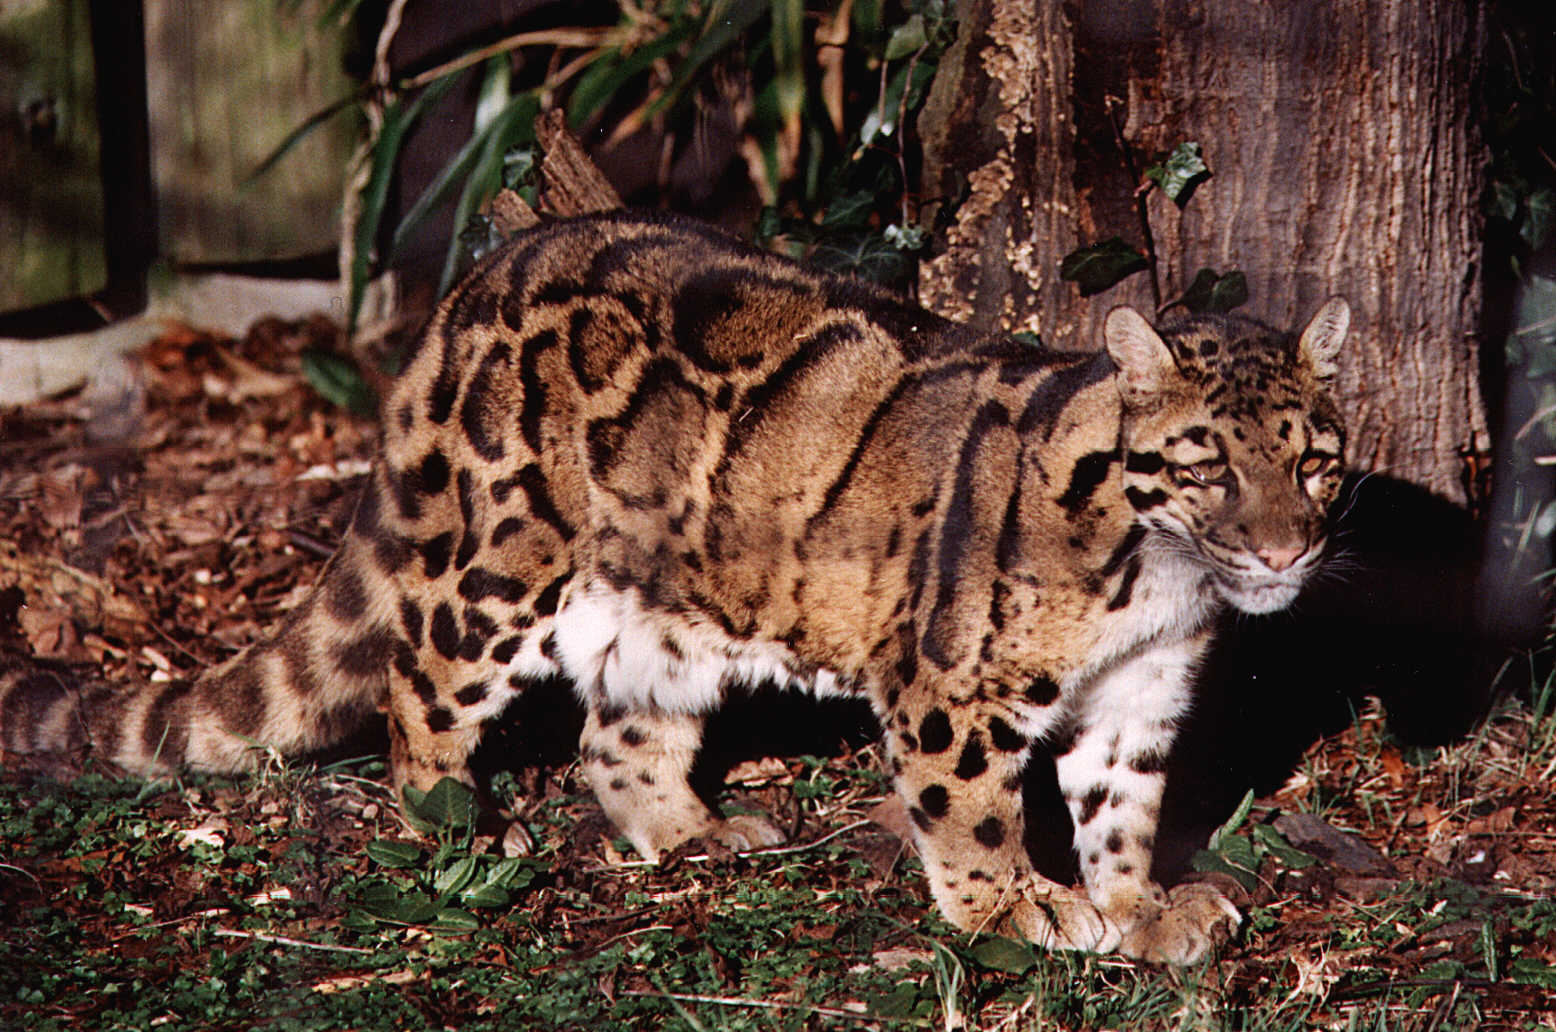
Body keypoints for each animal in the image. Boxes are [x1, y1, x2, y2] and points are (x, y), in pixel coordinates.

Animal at [0, 211, 1344, 971]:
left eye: (1314, 459)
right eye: (1207, 460)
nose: (1285, 552)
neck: (1160, 574)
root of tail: (475, 280)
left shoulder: (1139, 694)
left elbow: (1121, 805)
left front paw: (1138, 907)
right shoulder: (949, 688)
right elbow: (972, 815)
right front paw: (1013, 913)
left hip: (668, 606)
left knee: (616, 730)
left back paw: (685, 829)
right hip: (505, 557)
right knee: (418, 680)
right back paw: (451, 818)